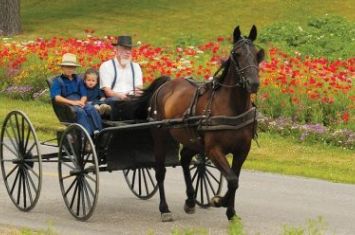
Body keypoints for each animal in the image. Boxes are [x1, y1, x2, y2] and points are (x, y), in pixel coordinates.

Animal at [146, 24, 266, 221]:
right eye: (237, 53)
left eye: (257, 54)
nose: (253, 83)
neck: (232, 107)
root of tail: (166, 83)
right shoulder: (213, 149)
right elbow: (232, 179)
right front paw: (219, 200)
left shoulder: (242, 150)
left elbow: (235, 180)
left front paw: (231, 212)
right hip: (160, 135)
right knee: (160, 172)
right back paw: (164, 209)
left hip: (193, 140)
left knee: (185, 159)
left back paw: (190, 200)